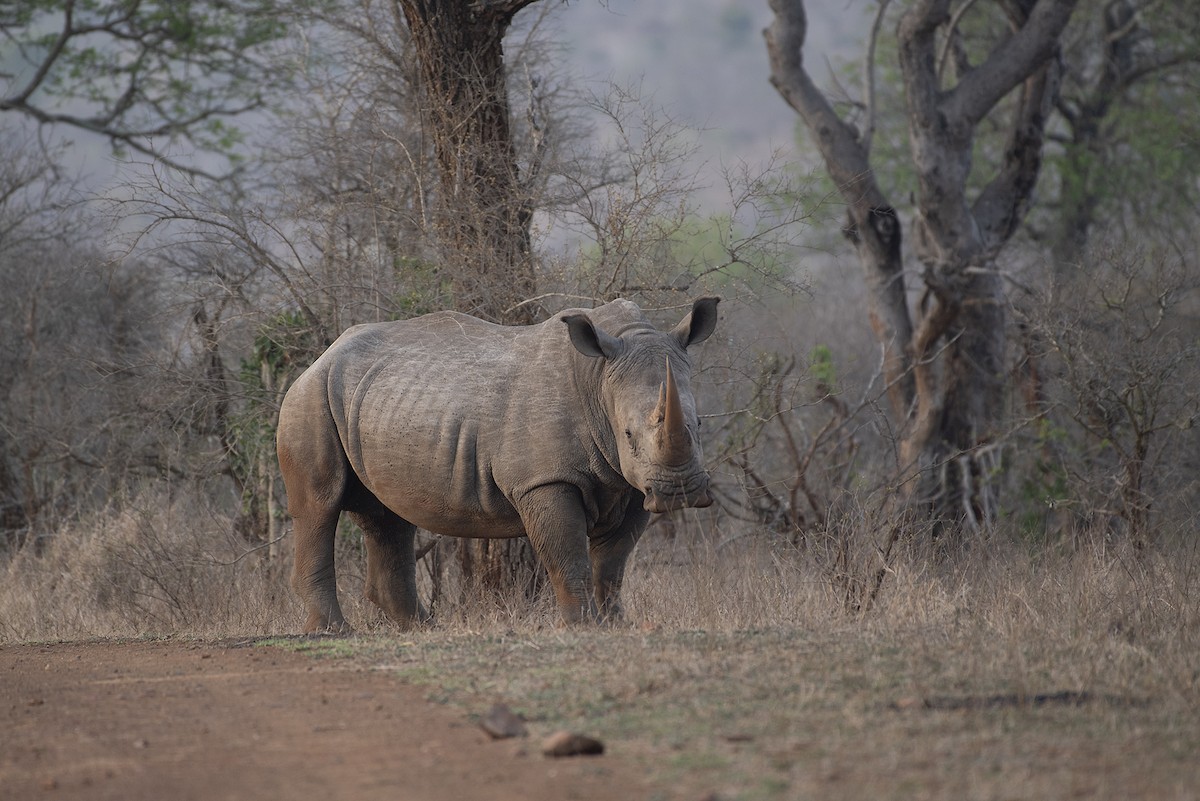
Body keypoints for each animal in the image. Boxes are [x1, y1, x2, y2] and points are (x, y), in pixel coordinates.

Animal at [276, 296, 720, 632]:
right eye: (627, 434)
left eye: (699, 424)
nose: (679, 492)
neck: (598, 377)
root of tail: (321, 356)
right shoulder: (544, 480)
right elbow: (567, 554)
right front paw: (582, 626)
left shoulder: (631, 482)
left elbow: (613, 563)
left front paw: (615, 624)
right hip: (310, 397)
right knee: (319, 506)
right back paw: (333, 632)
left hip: (379, 400)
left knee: (386, 516)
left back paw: (424, 629)